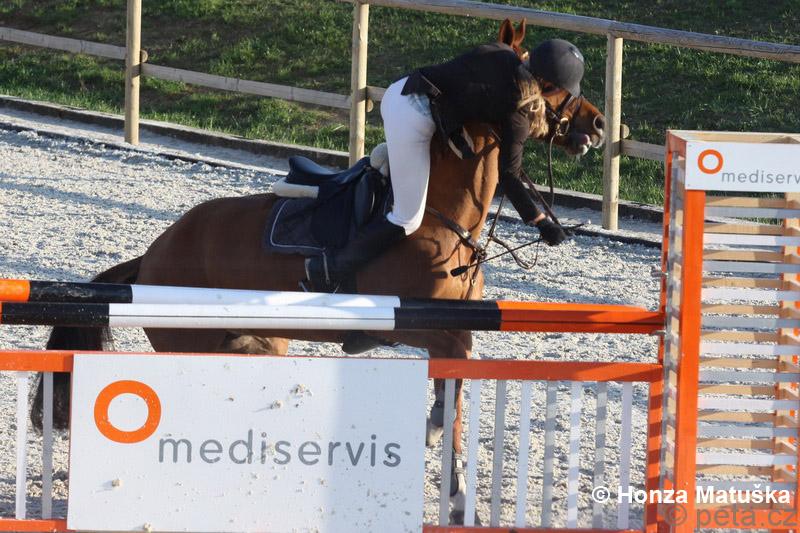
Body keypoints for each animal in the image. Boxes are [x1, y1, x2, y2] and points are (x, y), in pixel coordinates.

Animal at [32, 19, 605, 523]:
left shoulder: (455, 328)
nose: (599, 124)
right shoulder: (428, 328)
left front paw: (444, 459)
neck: (444, 216)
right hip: (193, 343)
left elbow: (454, 395)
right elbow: (453, 396)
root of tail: (153, 254)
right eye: (552, 93)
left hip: (256, 343)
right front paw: (452, 479)